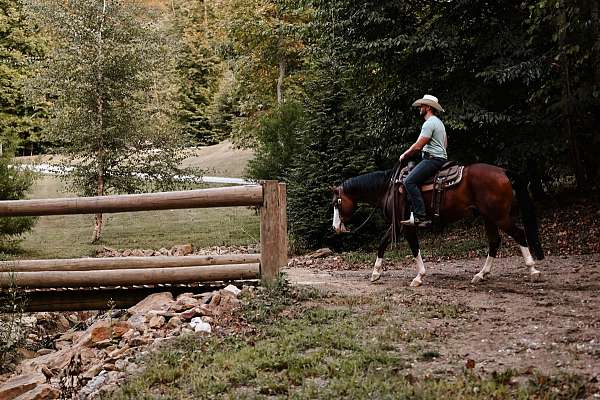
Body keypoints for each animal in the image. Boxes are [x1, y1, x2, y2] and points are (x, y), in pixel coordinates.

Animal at [330, 163, 548, 288]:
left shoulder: (406, 226)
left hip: (499, 216)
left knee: (519, 234)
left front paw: (419, 277)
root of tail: (502, 171)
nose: (335, 228)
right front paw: (375, 273)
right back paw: (480, 274)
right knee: (494, 241)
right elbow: (382, 243)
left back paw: (533, 271)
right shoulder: (397, 225)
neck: (388, 188)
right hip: (489, 217)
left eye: (336, 203)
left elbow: (414, 248)